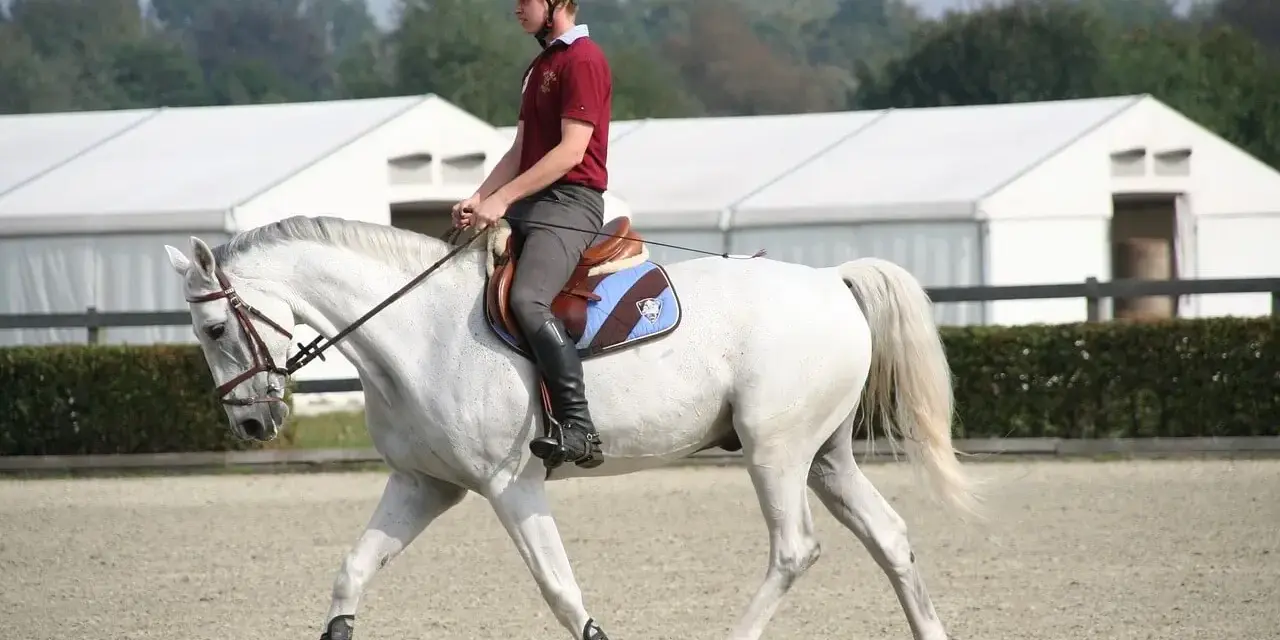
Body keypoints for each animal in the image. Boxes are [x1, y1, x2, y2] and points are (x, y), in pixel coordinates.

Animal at [162, 213, 980, 640]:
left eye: (212, 327)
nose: (251, 422)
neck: (417, 333)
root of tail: (829, 281)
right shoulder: (424, 484)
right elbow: (352, 570)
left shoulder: (509, 485)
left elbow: (558, 588)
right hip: (823, 457)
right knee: (890, 538)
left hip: (774, 452)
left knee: (794, 550)